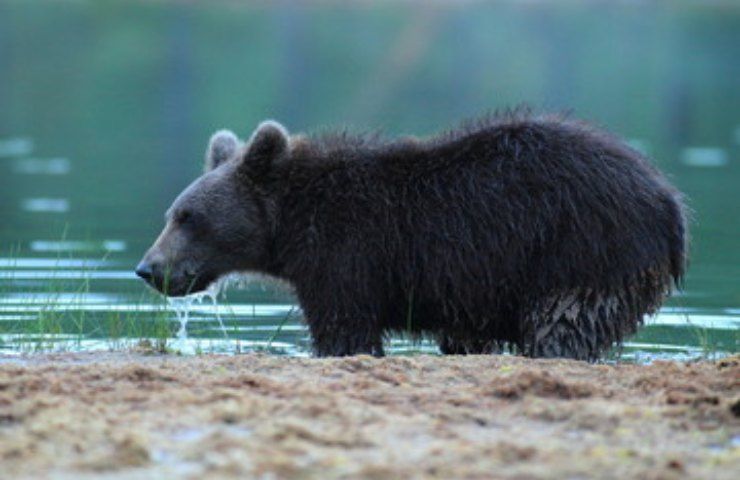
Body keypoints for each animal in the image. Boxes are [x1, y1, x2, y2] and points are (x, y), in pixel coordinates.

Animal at [134, 109, 688, 360]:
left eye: (189, 217)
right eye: (172, 213)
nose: (148, 268)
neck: (289, 230)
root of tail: (669, 200)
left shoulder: (347, 254)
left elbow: (345, 330)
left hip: (583, 249)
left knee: (562, 324)